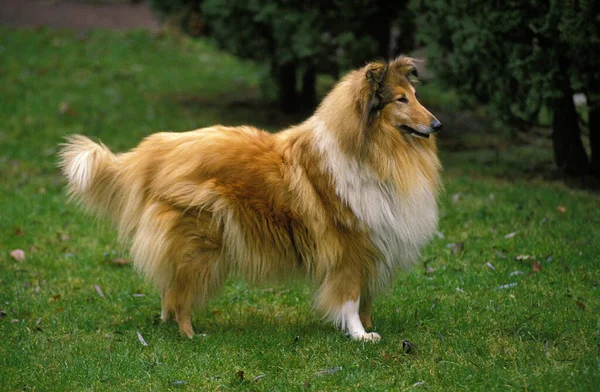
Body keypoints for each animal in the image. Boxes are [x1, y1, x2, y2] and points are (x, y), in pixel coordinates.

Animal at [58, 56, 440, 342]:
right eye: (401, 100)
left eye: (415, 94)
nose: (437, 125)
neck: (373, 149)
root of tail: (157, 149)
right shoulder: (348, 246)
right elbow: (349, 296)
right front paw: (360, 335)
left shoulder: (374, 243)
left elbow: (364, 297)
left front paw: (368, 326)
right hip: (201, 243)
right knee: (180, 292)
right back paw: (190, 334)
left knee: (170, 288)